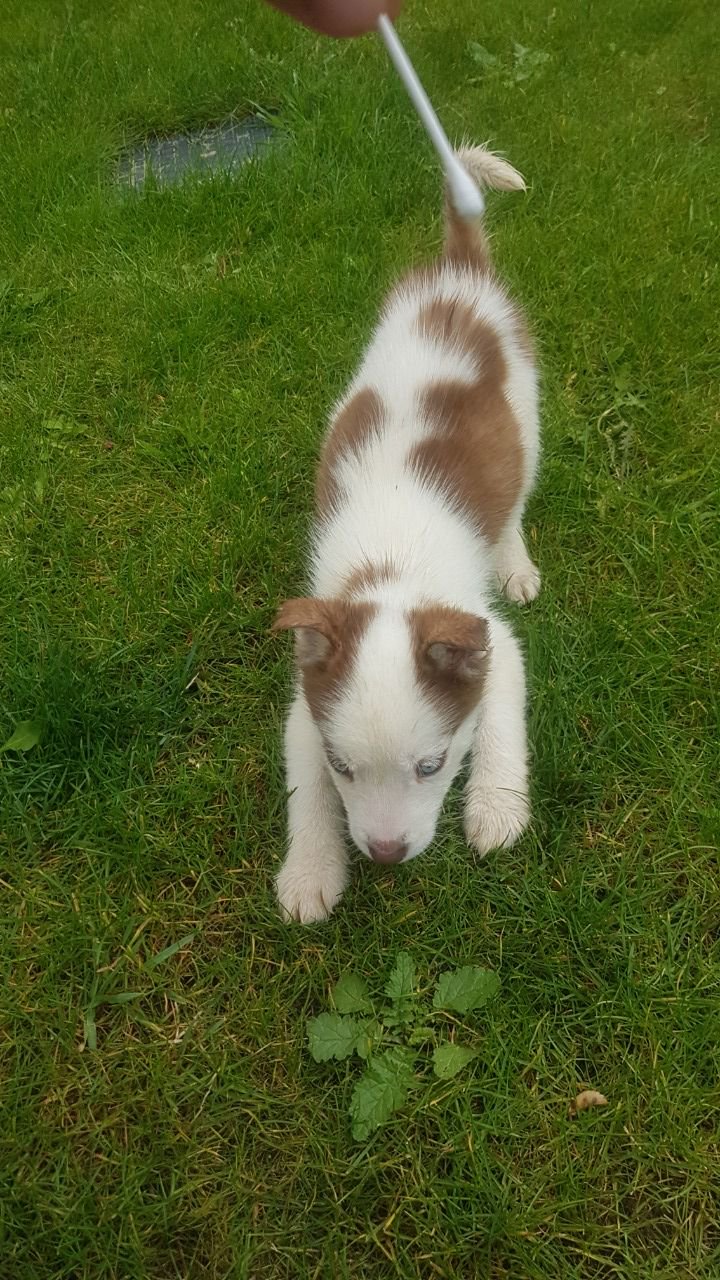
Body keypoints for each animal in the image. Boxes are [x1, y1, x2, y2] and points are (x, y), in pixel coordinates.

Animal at [271, 147, 535, 921]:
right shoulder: (307, 705)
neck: (388, 572)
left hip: (527, 409)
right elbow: (304, 790)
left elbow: (502, 718)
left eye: (431, 766)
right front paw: (310, 869)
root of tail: (458, 273)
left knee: (516, 496)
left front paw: (496, 808)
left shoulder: (491, 643)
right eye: (344, 766)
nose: (386, 855)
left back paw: (515, 559)